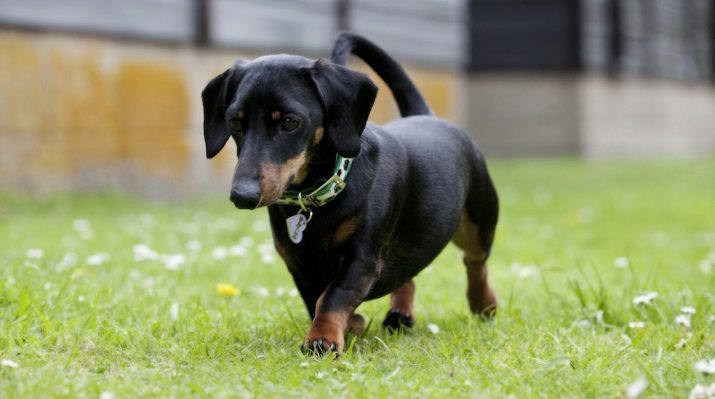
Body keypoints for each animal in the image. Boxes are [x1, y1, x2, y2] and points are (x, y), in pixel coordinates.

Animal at [203, 32, 498, 356]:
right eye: (234, 121)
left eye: (290, 121)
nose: (242, 195)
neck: (319, 195)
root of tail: (425, 115)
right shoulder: (298, 263)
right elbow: (315, 299)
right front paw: (350, 324)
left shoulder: (363, 259)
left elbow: (333, 295)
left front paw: (323, 339)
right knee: (408, 273)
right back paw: (400, 313)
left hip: (478, 220)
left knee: (475, 261)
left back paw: (484, 304)